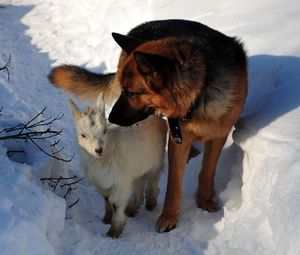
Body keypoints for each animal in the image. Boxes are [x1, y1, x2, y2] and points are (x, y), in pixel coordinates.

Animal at [48, 18, 247, 233]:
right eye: (123, 91)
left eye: (132, 93)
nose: (112, 118)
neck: (200, 94)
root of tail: (141, 27)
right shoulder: (178, 138)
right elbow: (173, 184)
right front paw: (168, 217)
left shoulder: (219, 135)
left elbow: (207, 172)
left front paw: (205, 200)